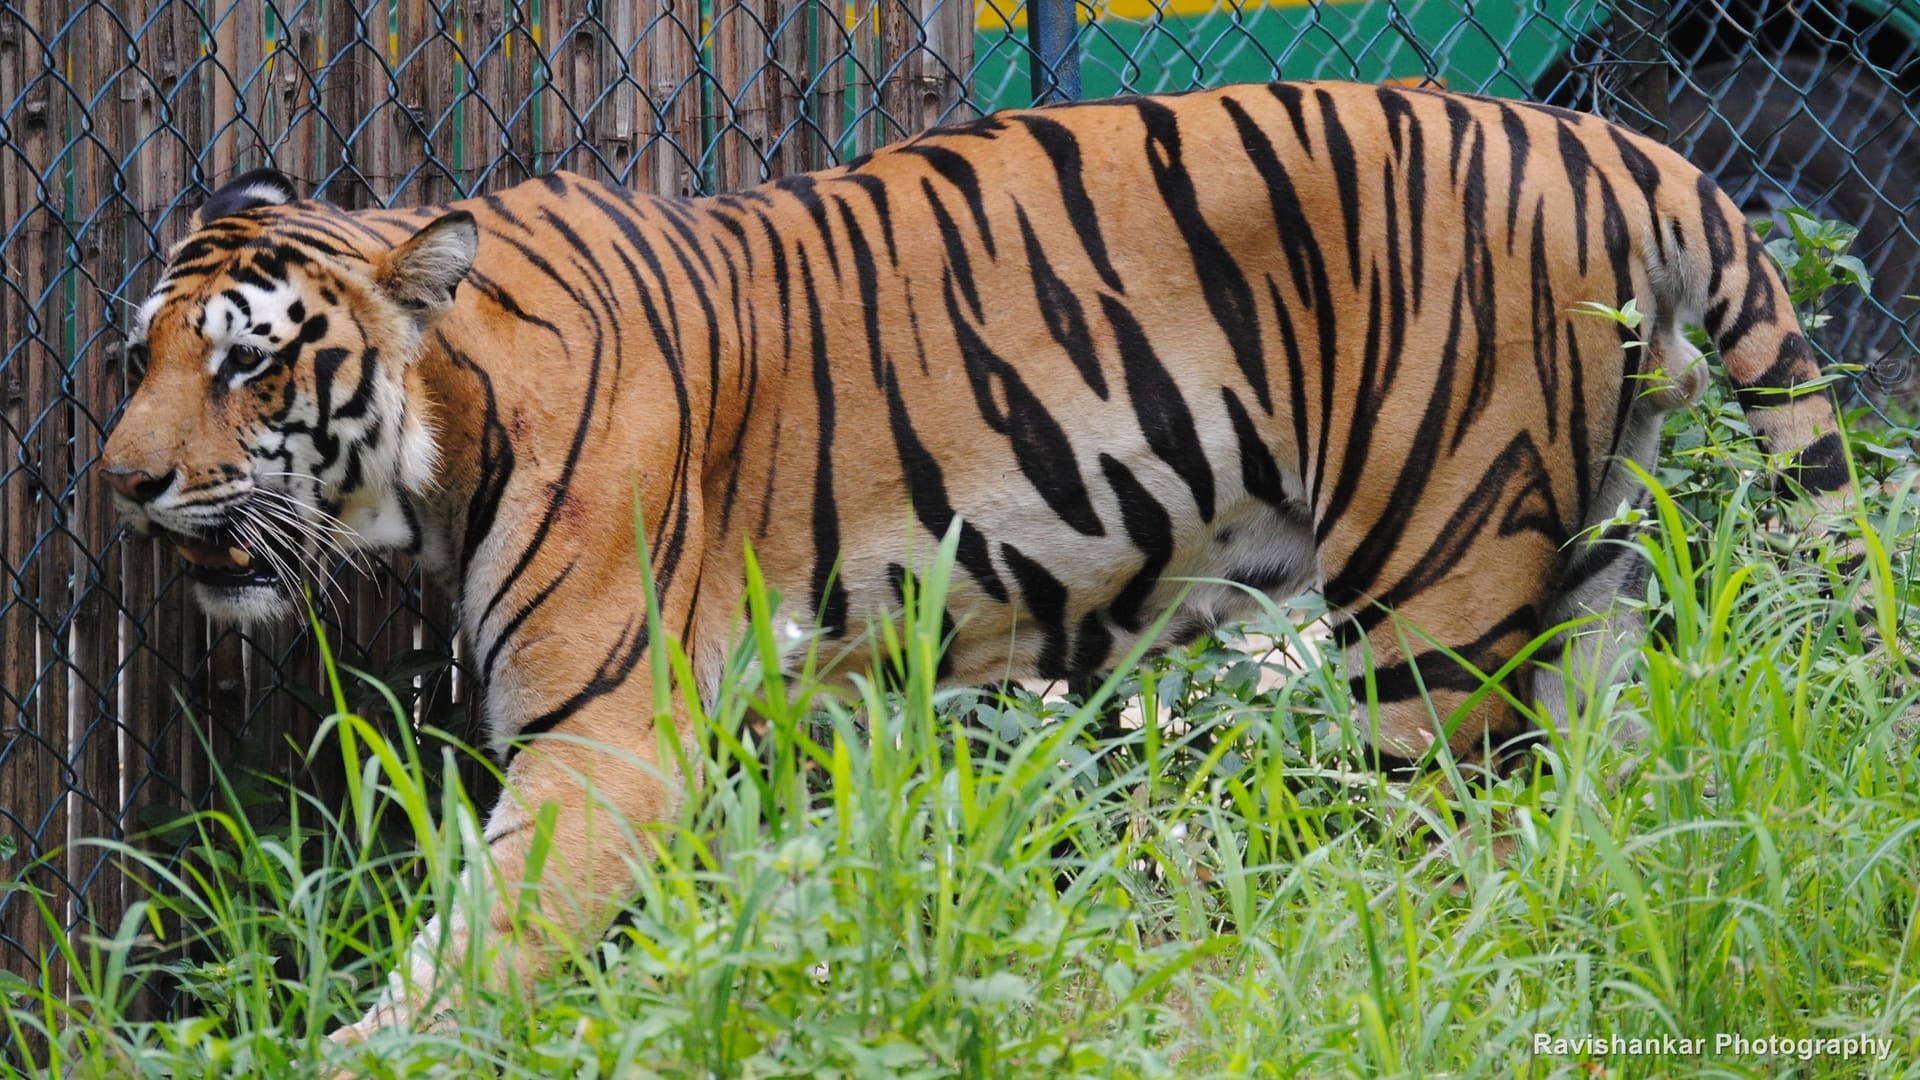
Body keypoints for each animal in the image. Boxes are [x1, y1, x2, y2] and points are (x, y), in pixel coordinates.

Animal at [99, 81, 1853, 1038]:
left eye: (248, 366)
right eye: (138, 359)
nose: (122, 483)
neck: (454, 431)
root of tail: (1621, 147)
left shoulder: (609, 743)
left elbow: (478, 946)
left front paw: (373, 1047)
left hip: (1434, 602)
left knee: (1430, 865)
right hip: (1591, 582)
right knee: (1583, 836)